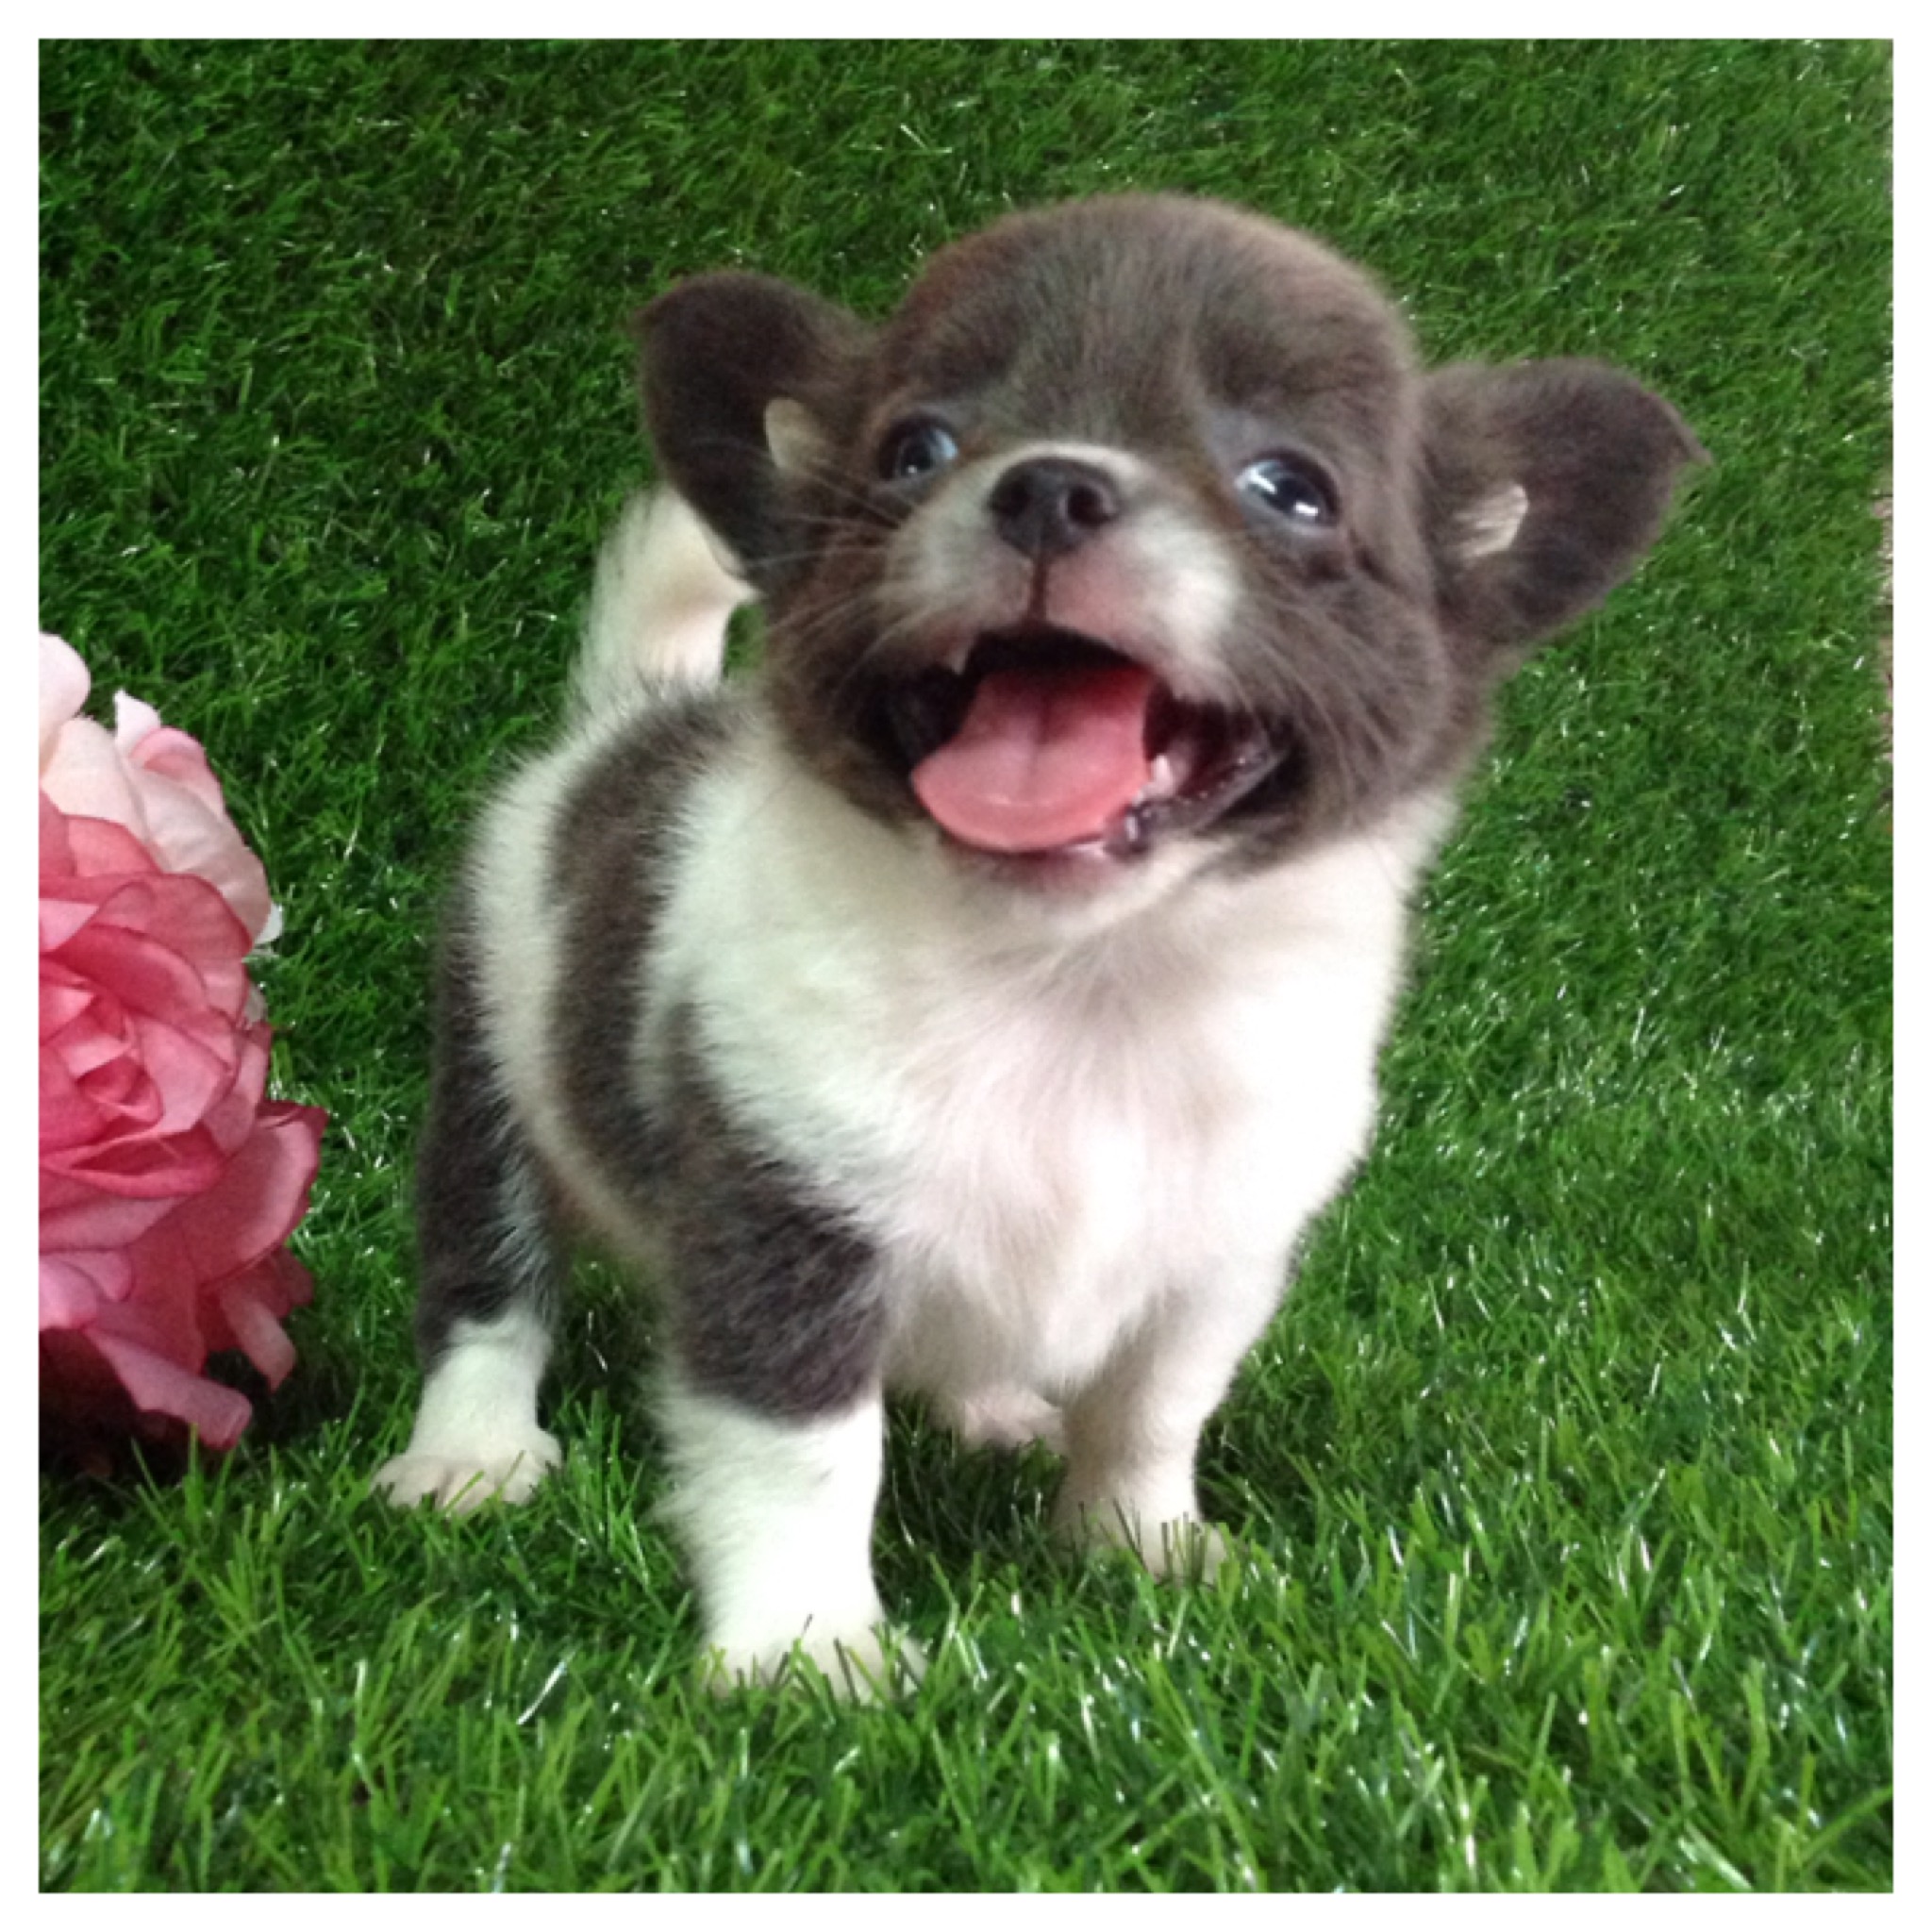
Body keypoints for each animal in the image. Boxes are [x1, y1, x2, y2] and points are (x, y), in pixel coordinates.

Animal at [374, 194, 1700, 1694]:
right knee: (489, 1287)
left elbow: (1153, 1412)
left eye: (1290, 488)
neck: (1084, 982)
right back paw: (472, 1452)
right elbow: (801, 1454)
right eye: (915, 452)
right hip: (493, 1065)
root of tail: (630, 722)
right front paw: (805, 1650)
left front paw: (1140, 1548)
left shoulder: (1217, 1256)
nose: (1047, 485)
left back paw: (996, 1405)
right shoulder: (784, 1221)